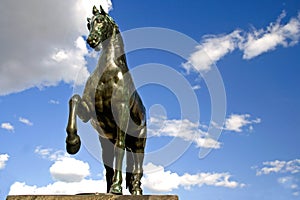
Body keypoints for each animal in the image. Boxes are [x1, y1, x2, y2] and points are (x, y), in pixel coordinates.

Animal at [65, 5, 146, 195]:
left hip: (139, 142)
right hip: (105, 140)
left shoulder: (121, 112)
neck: (109, 72)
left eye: (101, 21)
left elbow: (120, 147)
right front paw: (72, 143)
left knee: (137, 166)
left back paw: (136, 190)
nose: (91, 40)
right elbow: (75, 99)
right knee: (109, 162)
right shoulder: (88, 111)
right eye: (89, 24)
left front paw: (117, 188)